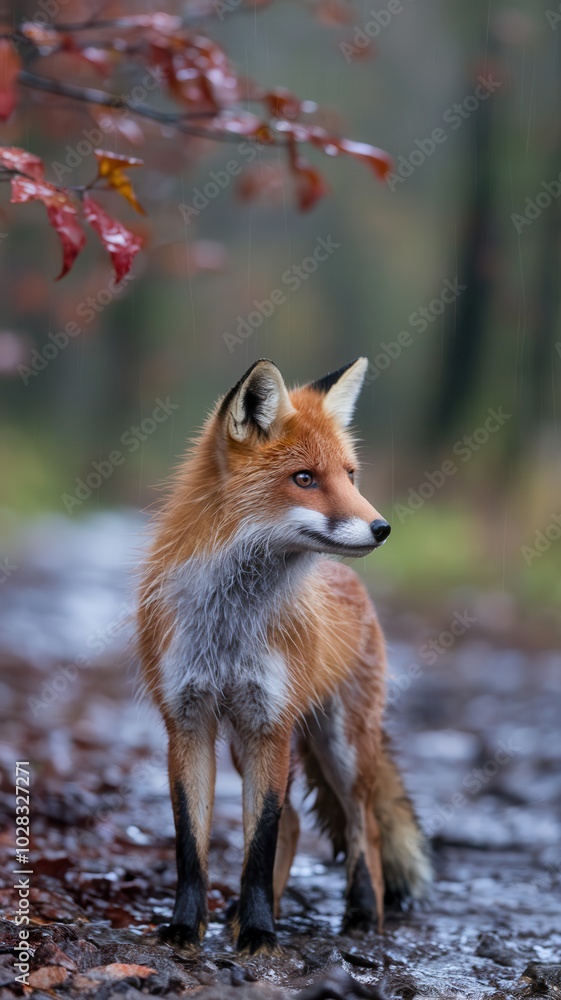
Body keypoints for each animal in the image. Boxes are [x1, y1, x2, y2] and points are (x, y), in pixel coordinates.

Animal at [137, 357, 431, 956]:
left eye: (350, 475)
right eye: (304, 478)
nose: (383, 528)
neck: (229, 623)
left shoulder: (268, 724)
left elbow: (260, 843)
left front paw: (259, 934)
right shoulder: (188, 722)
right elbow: (191, 845)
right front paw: (188, 926)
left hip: (343, 746)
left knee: (363, 827)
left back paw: (363, 913)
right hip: (252, 746)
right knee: (297, 822)